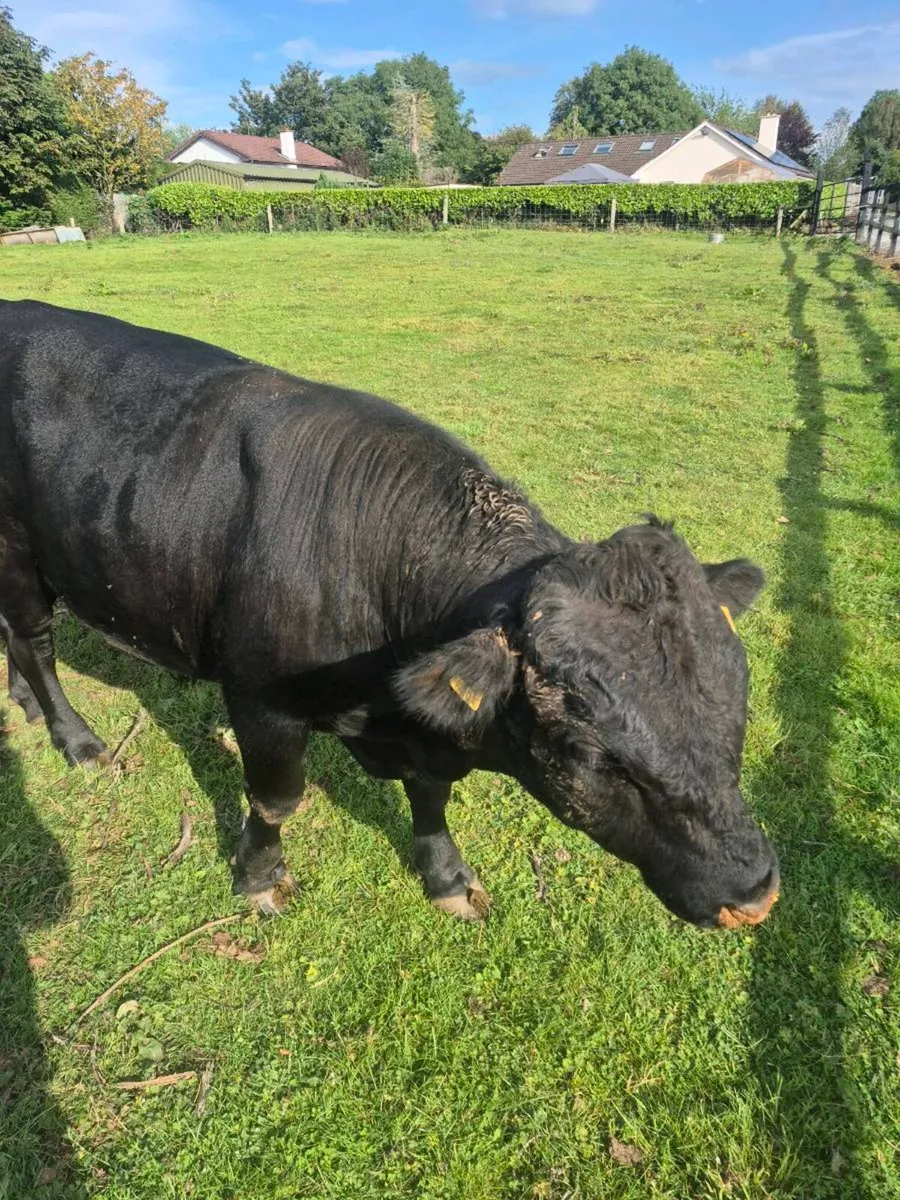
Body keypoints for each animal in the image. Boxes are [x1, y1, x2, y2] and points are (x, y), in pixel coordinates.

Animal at [0, 300, 779, 929]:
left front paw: (448, 879)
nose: (754, 892)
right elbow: (277, 799)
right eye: (588, 753)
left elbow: (431, 798)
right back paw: (77, 739)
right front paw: (260, 880)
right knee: (36, 640)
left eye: (739, 695)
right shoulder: (259, 700)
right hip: (20, 558)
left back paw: (26, 704)